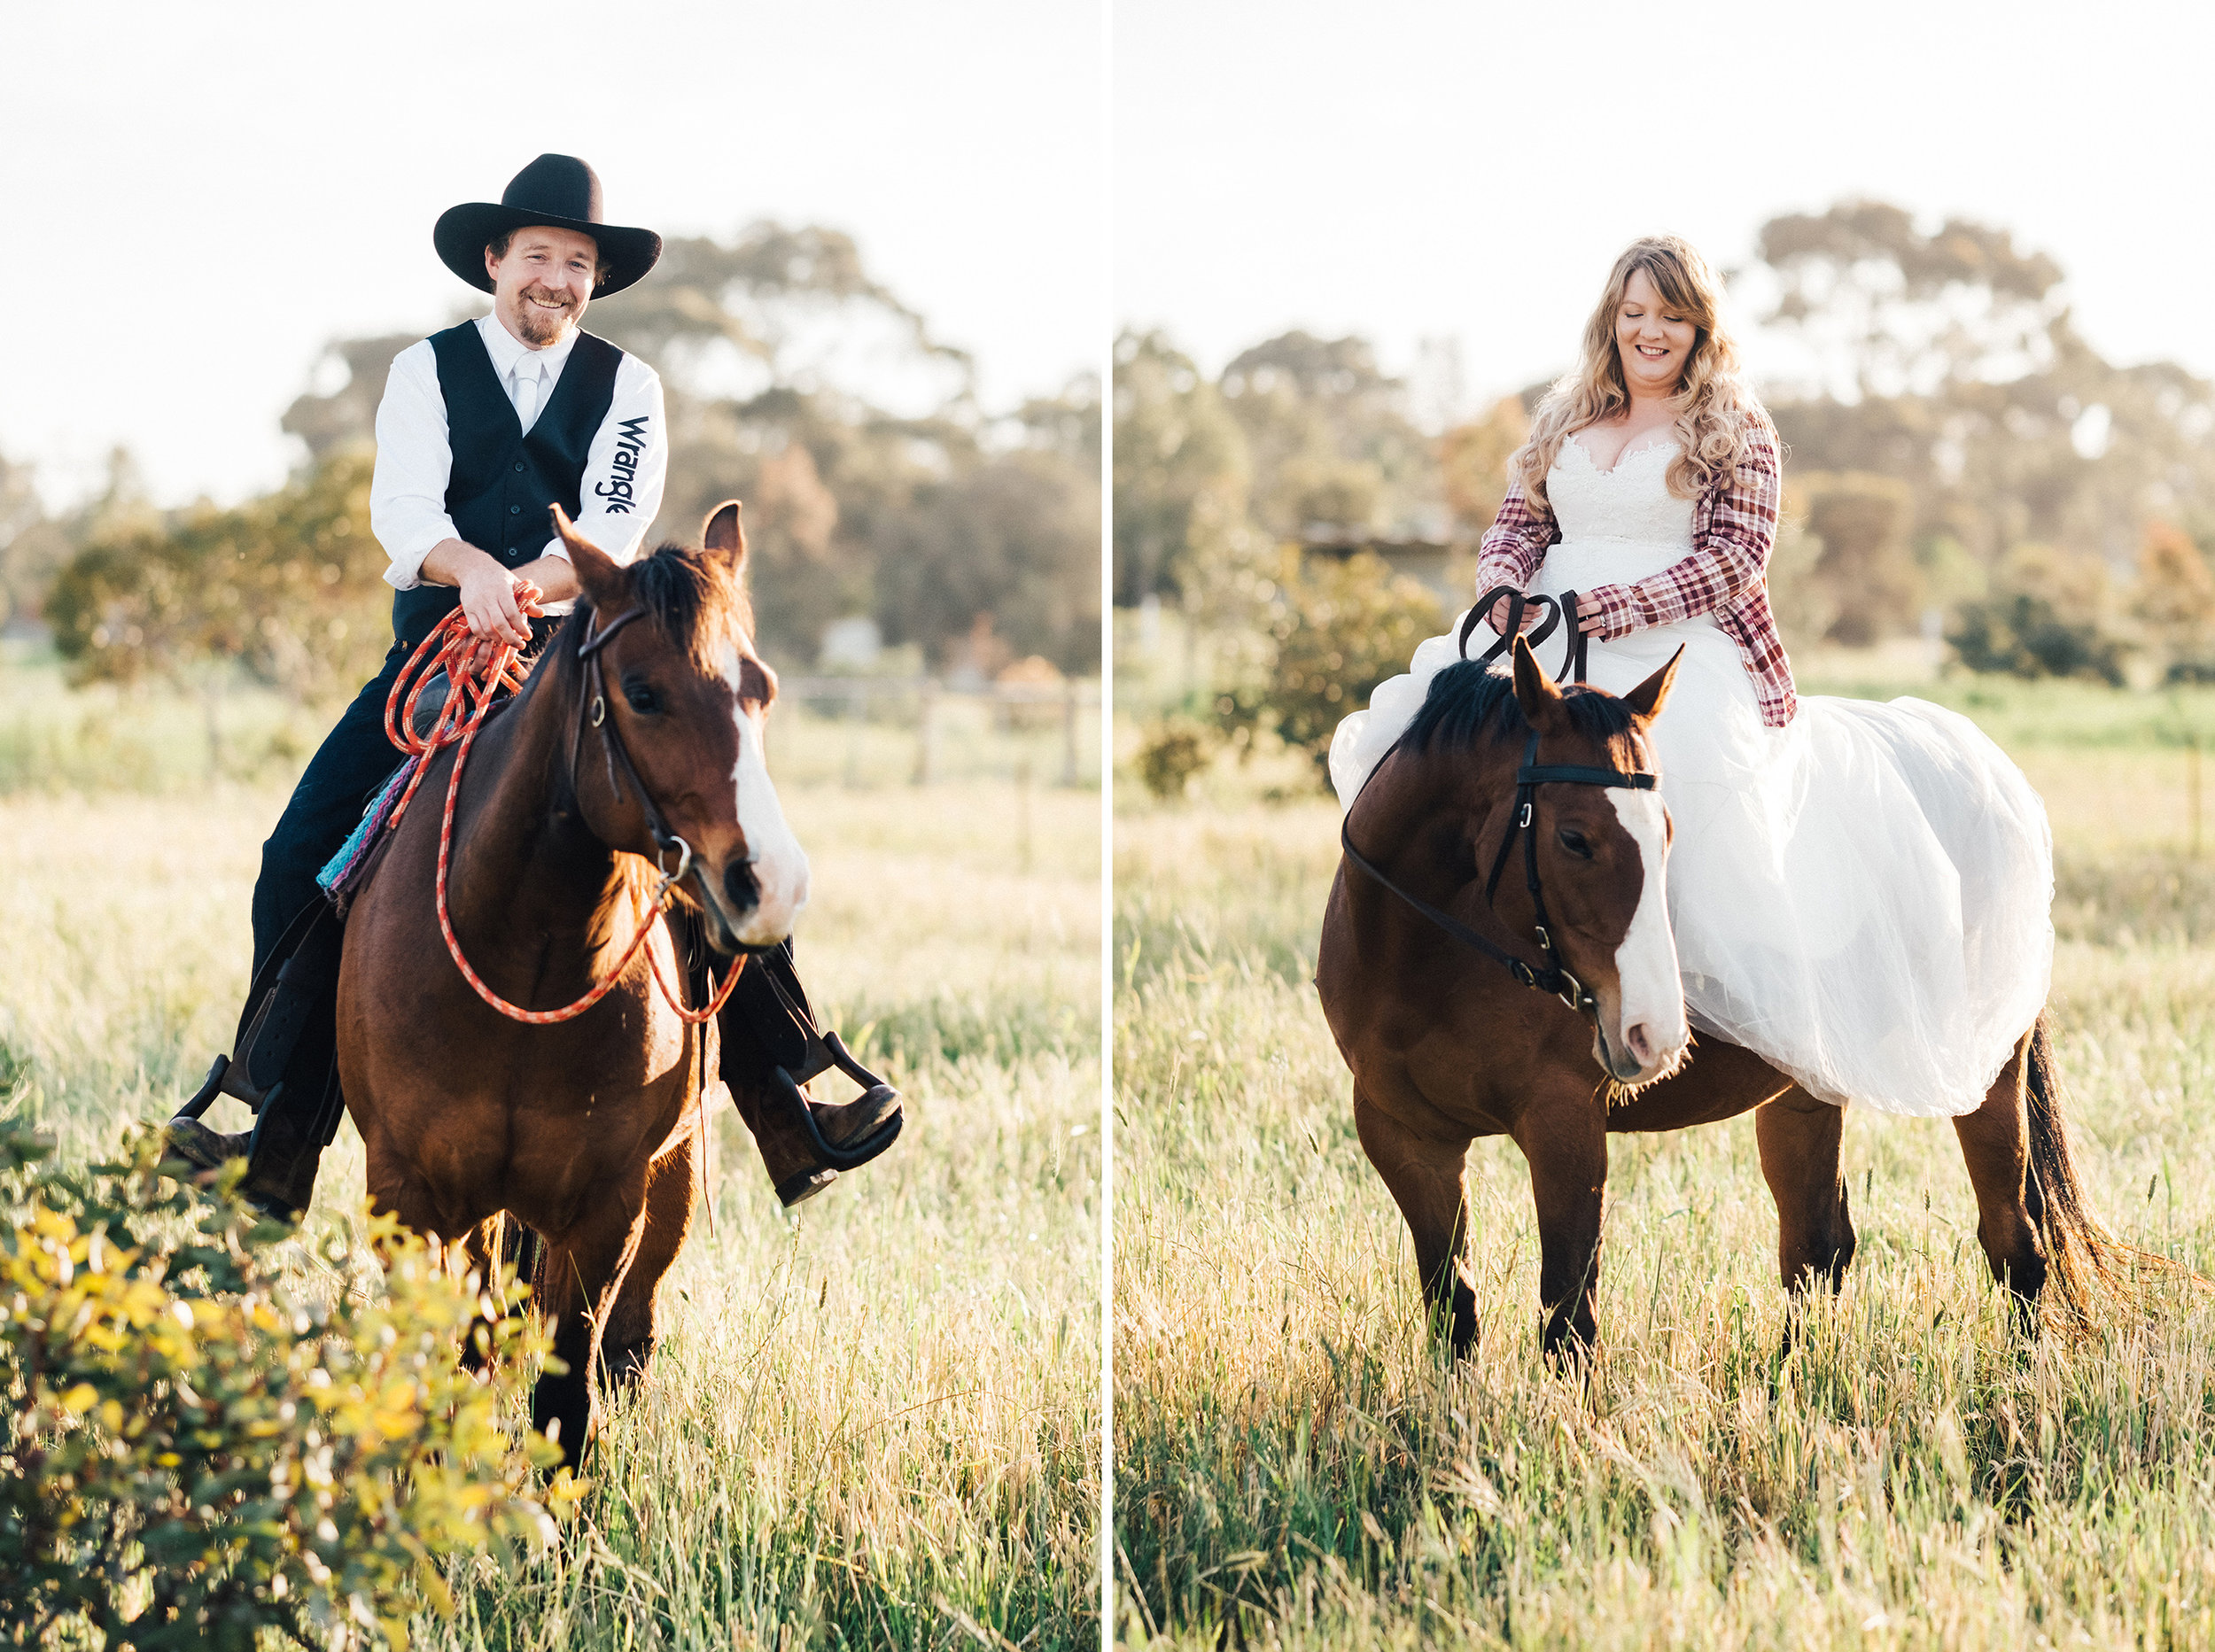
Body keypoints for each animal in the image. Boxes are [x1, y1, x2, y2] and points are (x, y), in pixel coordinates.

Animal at [337, 498, 806, 1453]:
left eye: (762, 689)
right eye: (642, 691)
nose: (768, 882)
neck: (526, 956)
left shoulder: (603, 1208)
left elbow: (567, 1399)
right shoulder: (409, 1197)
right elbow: (439, 1369)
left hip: (670, 1180)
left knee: (627, 1341)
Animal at [1311, 638, 2109, 1355]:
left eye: (1667, 833)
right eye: (1573, 838)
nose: (1653, 1033)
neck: (1424, 955)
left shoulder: (1566, 1124)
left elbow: (1569, 1316)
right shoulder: (1406, 1138)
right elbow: (1454, 1308)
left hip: (1986, 1073)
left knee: (2013, 1243)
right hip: (1806, 1084)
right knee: (1817, 1247)